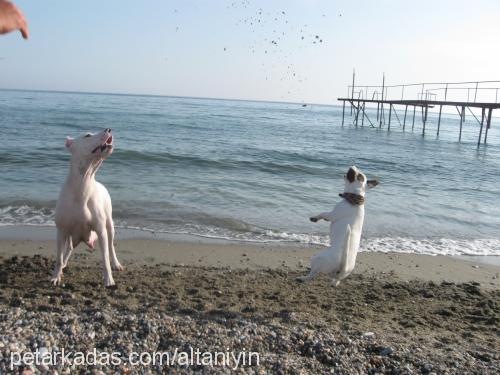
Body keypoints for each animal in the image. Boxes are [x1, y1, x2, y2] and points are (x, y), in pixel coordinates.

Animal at [51, 129, 123, 288]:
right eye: (87, 135)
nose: (109, 129)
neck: (84, 183)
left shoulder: (101, 230)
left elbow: (105, 258)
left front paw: (109, 279)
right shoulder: (61, 231)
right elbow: (58, 256)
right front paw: (56, 276)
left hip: (110, 225)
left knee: (111, 246)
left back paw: (116, 263)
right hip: (70, 236)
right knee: (69, 249)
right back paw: (64, 263)